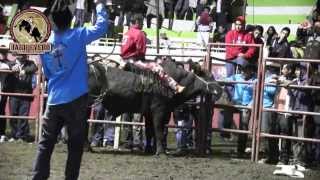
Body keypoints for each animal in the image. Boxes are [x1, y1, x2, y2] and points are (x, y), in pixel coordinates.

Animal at [87, 60, 222, 155]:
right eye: (210, 75)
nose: (220, 89)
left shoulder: (148, 113)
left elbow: (149, 131)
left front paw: (149, 149)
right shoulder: (159, 111)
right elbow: (158, 130)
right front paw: (160, 151)